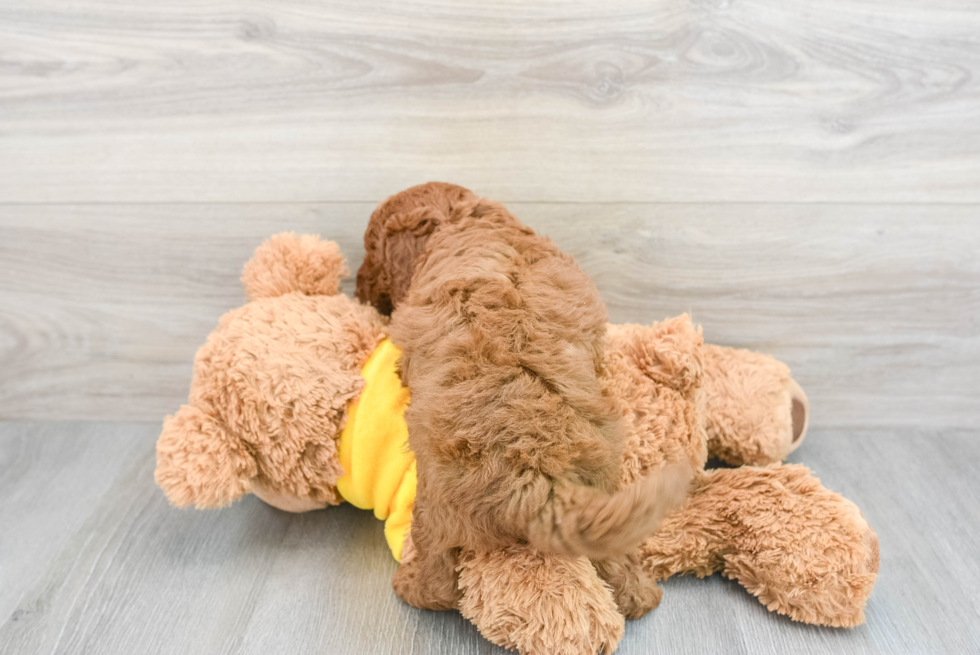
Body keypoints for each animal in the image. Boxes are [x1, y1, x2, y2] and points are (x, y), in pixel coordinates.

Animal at [354, 183, 688, 608]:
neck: (461, 217)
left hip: (433, 505)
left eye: (371, 249)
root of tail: (538, 472)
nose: (357, 287)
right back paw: (640, 596)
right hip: (606, 499)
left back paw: (411, 586)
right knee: (617, 561)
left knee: (439, 576)